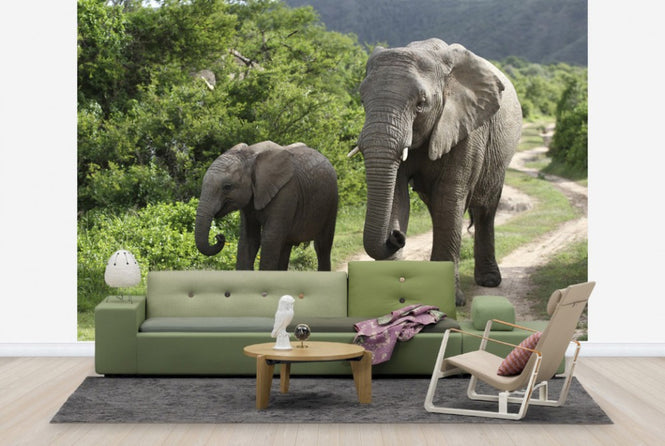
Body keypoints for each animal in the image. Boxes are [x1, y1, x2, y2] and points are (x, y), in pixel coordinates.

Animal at [195, 141, 338, 271]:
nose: (219, 237)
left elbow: (270, 239)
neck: (250, 155)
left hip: (331, 201)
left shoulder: (286, 191)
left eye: (227, 187)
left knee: (322, 245)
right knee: (286, 246)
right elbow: (249, 239)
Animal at [353, 38, 522, 305]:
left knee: (485, 209)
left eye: (421, 104)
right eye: (362, 100)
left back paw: (489, 281)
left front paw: (448, 301)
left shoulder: (468, 127)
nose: (396, 236)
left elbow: (449, 199)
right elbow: (398, 196)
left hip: (499, 156)